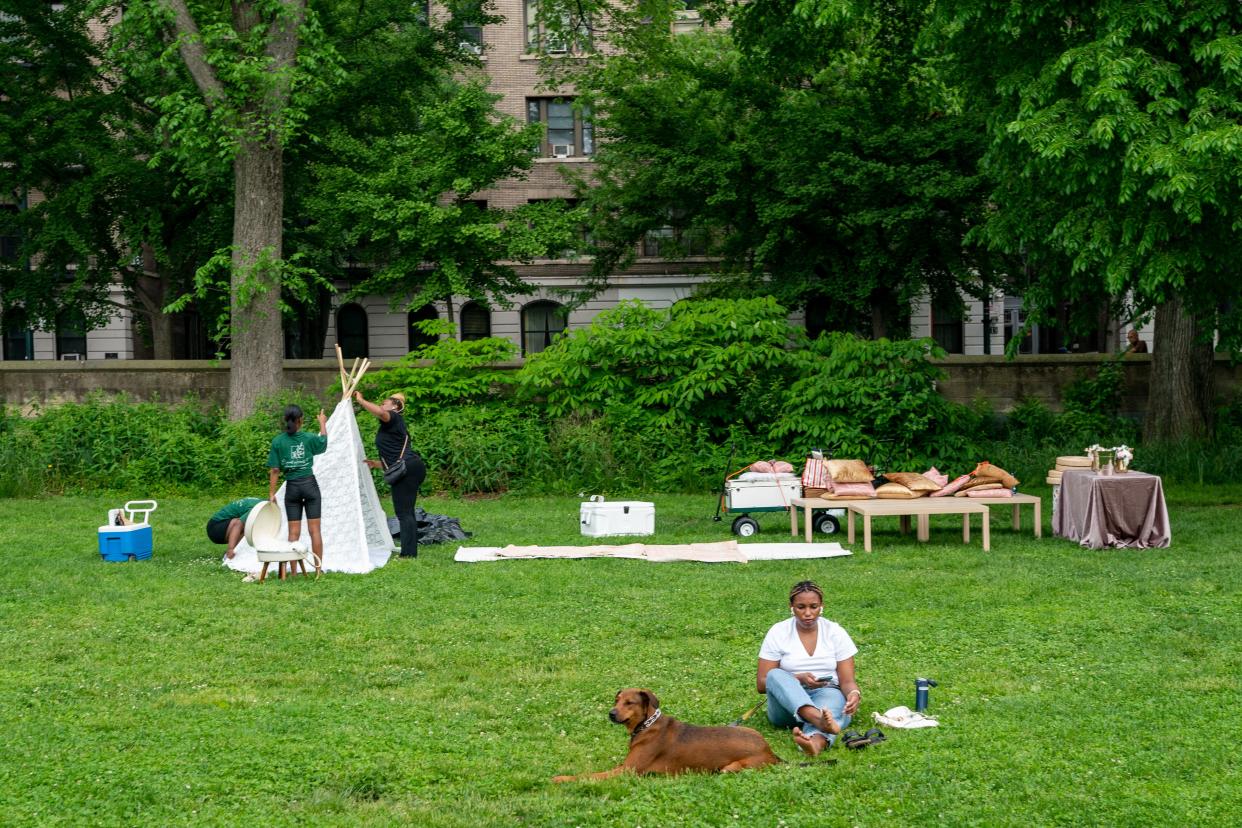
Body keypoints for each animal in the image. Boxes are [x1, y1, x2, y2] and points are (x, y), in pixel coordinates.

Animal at [551, 685, 779, 784]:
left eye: (629, 703)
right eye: (616, 700)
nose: (611, 713)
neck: (646, 725)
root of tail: (770, 751)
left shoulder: (627, 771)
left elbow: (588, 775)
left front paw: (561, 778)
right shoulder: (624, 766)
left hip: (730, 768)